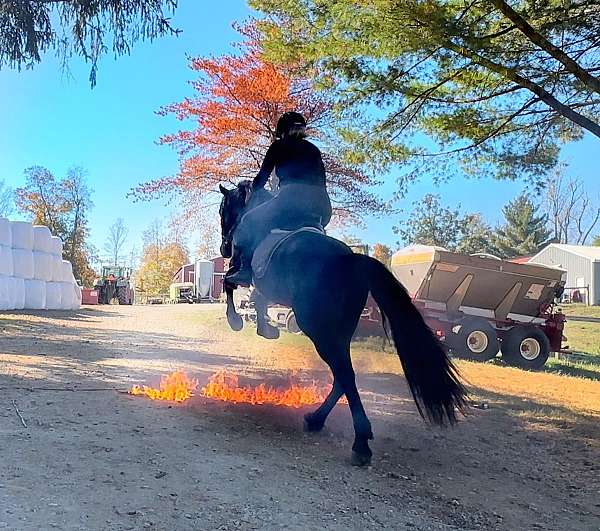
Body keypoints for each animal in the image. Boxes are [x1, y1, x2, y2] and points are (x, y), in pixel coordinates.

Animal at [218, 182, 466, 466]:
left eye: (223, 210)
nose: (225, 248)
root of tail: (352, 261)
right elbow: (256, 299)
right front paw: (265, 328)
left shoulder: (245, 273)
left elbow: (230, 282)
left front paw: (237, 321)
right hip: (340, 331)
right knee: (342, 376)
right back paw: (317, 420)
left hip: (318, 329)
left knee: (344, 374)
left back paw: (360, 443)